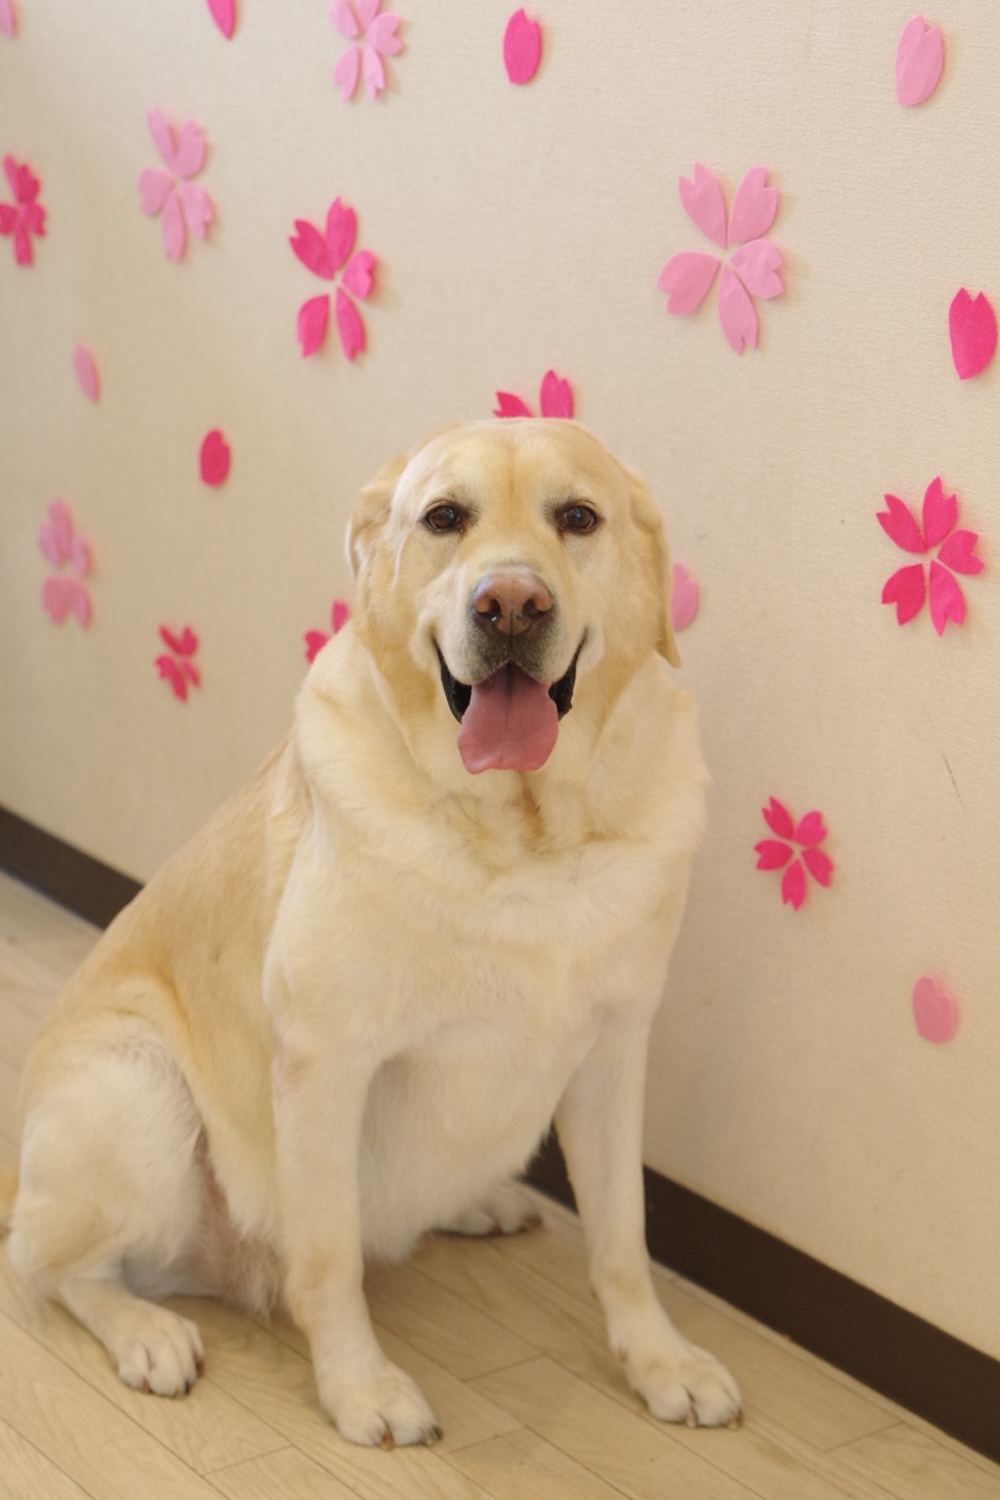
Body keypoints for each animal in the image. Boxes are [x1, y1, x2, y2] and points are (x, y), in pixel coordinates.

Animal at [3, 418, 741, 1446]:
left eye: (578, 518)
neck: (523, 836)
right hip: (137, 1092)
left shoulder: (614, 1052)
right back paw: (147, 1333)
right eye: (445, 517)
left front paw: (660, 1360)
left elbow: (623, 1238)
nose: (511, 604)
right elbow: (329, 1259)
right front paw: (358, 1386)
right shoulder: (325, 1062)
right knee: (53, 1267)